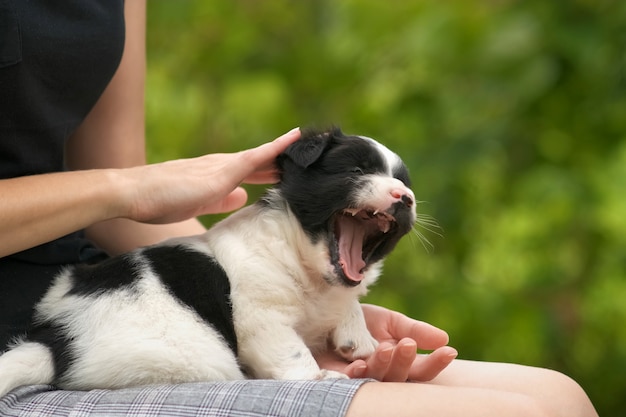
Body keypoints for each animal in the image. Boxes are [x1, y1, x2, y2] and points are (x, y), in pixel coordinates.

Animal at [1, 128, 420, 394]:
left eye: (404, 183)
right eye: (356, 171)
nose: (405, 198)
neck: (307, 267)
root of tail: (55, 342)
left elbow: (349, 303)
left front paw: (358, 339)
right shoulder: (262, 319)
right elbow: (292, 351)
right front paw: (319, 377)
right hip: (196, 357)